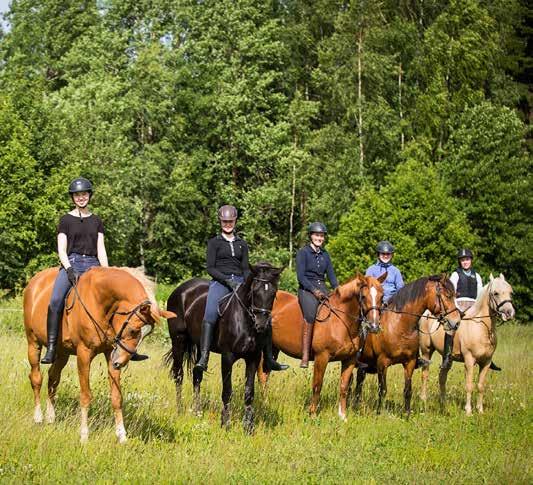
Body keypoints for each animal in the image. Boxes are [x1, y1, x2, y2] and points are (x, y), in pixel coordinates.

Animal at [23, 264, 175, 442]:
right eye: (132, 330)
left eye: (146, 335)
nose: (120, 363)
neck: (100, 301)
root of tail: (34, 281)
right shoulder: (84, 354)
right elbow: (85, 395)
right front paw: (84, 435)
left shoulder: (111, 352)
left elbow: (117, 397)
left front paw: (122, 435)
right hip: (33, 343)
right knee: (36, 378)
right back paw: (38, 417)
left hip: (63, 353)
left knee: (53, 378)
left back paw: (51, 417)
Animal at [165, 260, 282, 432]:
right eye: (255, 291)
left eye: (274, 293)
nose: (261, 325)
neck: (245, 320)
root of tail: (180, 290)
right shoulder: (227, 357)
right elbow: (227, 390)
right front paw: (225, 423)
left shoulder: (253, 358)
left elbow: (249, 392)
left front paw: (248, 426)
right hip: (178, 340)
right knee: (178, 375)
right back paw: (180, 410)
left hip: (200, 345)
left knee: (197, 374)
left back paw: (197, 411)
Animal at [256, 272, 384, 420]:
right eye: (363, 296)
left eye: (382, 296)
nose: (374, 326)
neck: (341, 321)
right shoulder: (321, 357)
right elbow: (317, 385)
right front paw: (312, 414)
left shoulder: (350, 360)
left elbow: (344, 386)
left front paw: (342, 416)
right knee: (261, 376)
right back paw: (264, 403)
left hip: (273, 349)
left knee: (265, 374)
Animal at [354, 276, 462, 416]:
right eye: (448, 296)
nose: (456, 322)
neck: (400, 326)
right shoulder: (382, 363)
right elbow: (382, 390)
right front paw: (379, 413)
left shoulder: (409, 363)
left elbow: (407, 390)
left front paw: (407, 415)